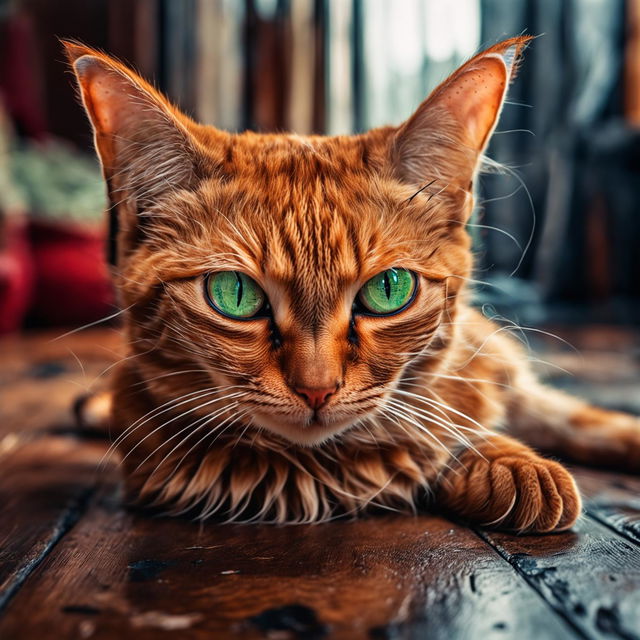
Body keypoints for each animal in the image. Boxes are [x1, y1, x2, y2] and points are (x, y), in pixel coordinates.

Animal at [66, 37, 640, 532]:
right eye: (235, 295)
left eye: (388, 289)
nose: (316, 389)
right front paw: (502, 460)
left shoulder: (504, 374)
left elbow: (575, 418)